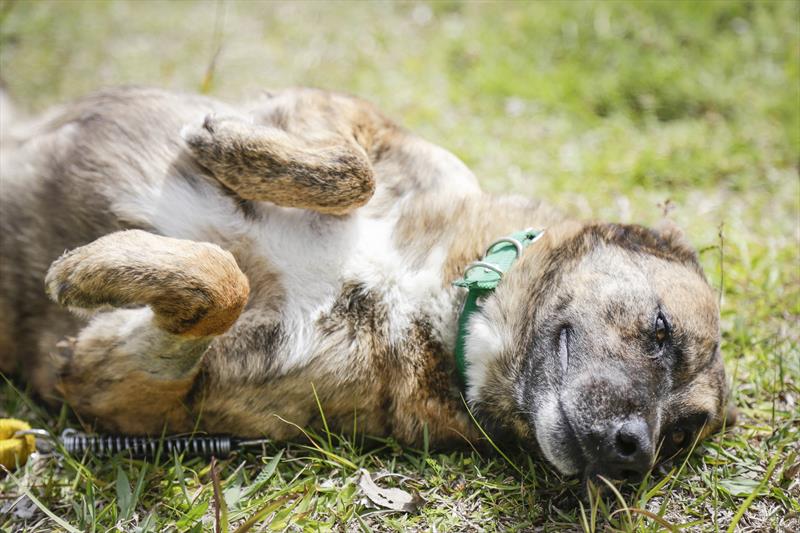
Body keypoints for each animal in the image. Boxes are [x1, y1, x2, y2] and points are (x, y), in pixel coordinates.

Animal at [1, 86, 736, 478]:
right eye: (661, 329)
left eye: (679, 436)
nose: (633, 451)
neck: (433, 295)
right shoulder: (352, 119)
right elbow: (354, 171)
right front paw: (226, 145)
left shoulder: (130, 389)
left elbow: (222, 283)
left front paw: (92, 268)